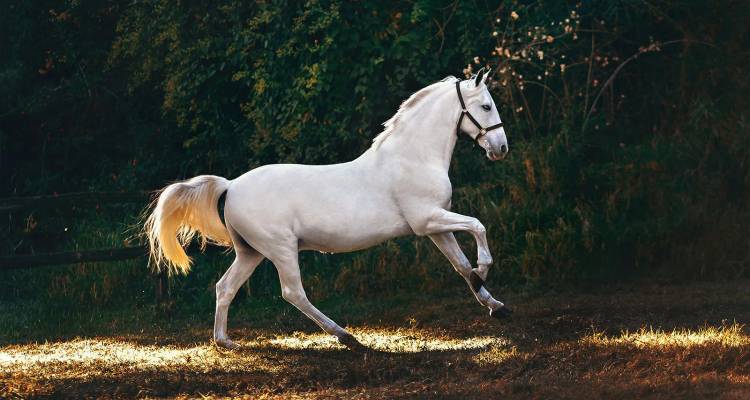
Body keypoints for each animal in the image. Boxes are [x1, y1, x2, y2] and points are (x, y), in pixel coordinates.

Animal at [144, 67, 510, 351]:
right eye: (486, 106)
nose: (501, 148)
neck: (413, 157)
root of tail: (231, 186)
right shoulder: (428, 220)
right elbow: (478, 226)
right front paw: (484, 269)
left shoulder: (436, 226)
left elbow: (460, 265)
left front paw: (494, 303)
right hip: (281, 248)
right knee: (293, 292)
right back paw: (346, 336)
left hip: (251, 252)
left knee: (225, 287)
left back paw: (225, 341)